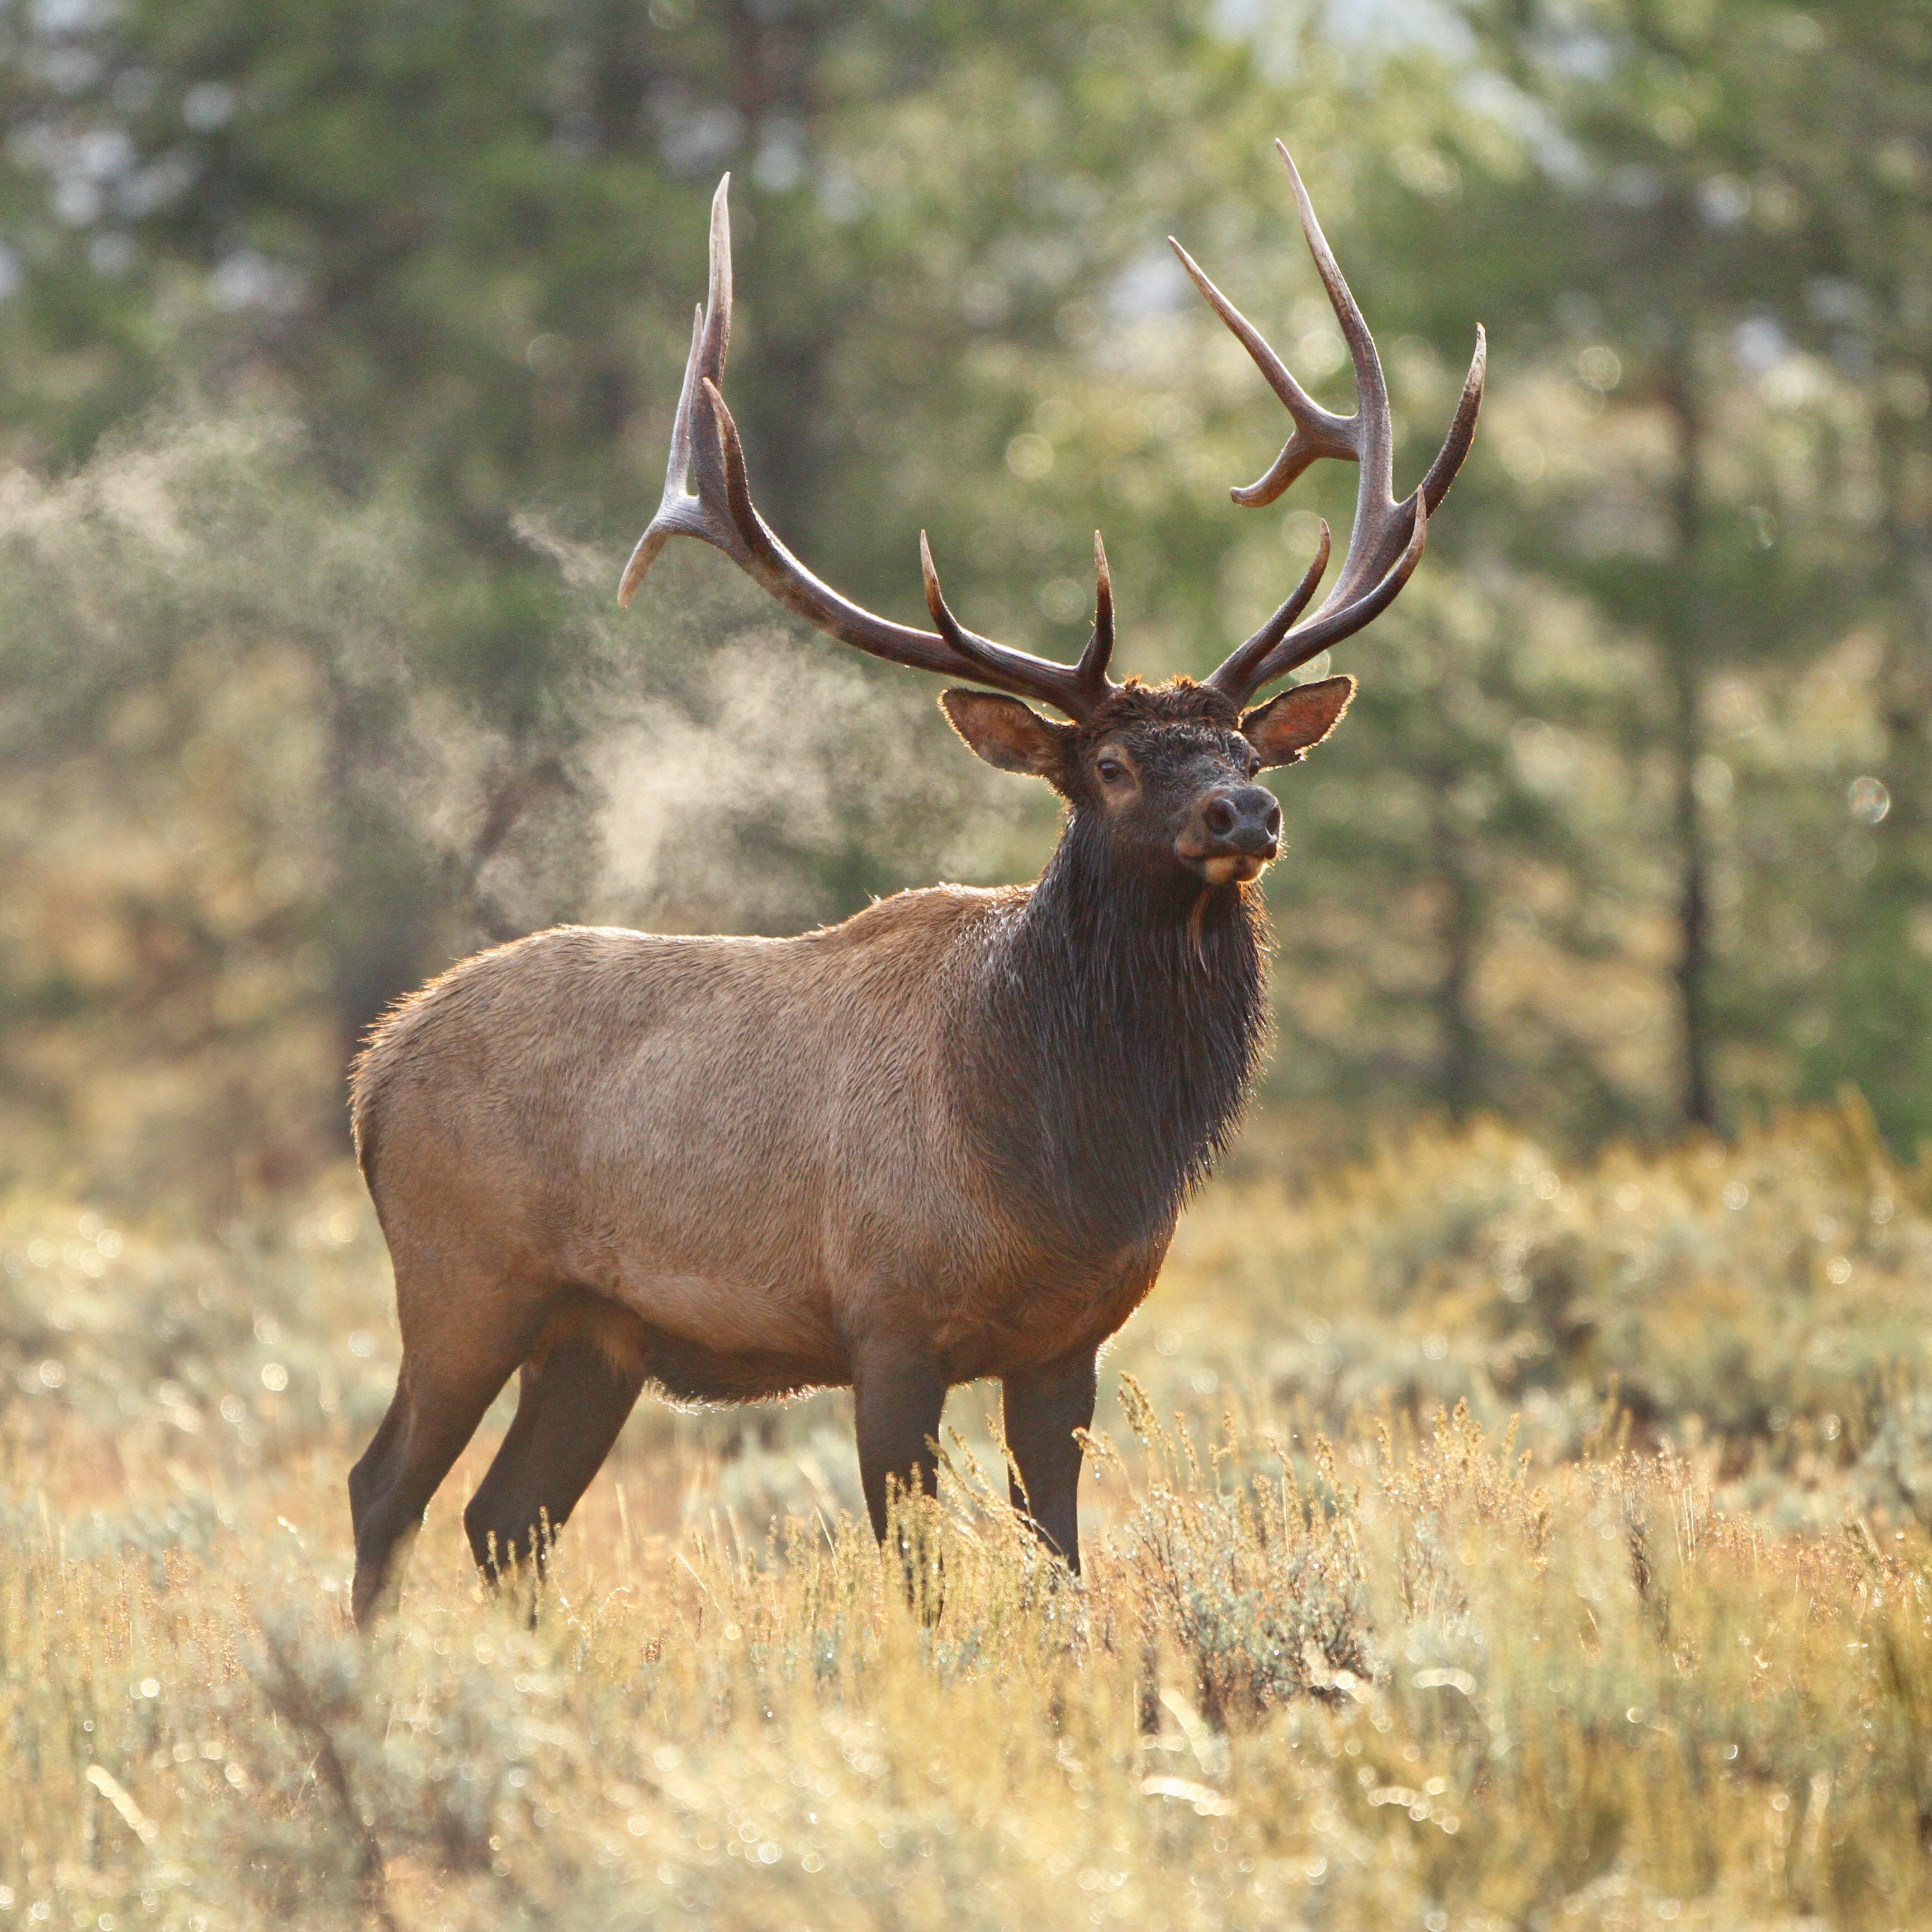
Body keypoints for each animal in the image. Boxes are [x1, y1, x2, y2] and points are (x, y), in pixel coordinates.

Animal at [345, 143, 1484, 1625]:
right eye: (1110, 761)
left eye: (1241, 742)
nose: (1247, 809)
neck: (1070, 1158)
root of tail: (372, 1070)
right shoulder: (886, 1320)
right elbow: (918, 1571)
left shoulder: (1068, 1342)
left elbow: (1059, 1558)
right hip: (464, 1276)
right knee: (389, 1489)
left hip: (596, 1332)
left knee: (506, 1518)